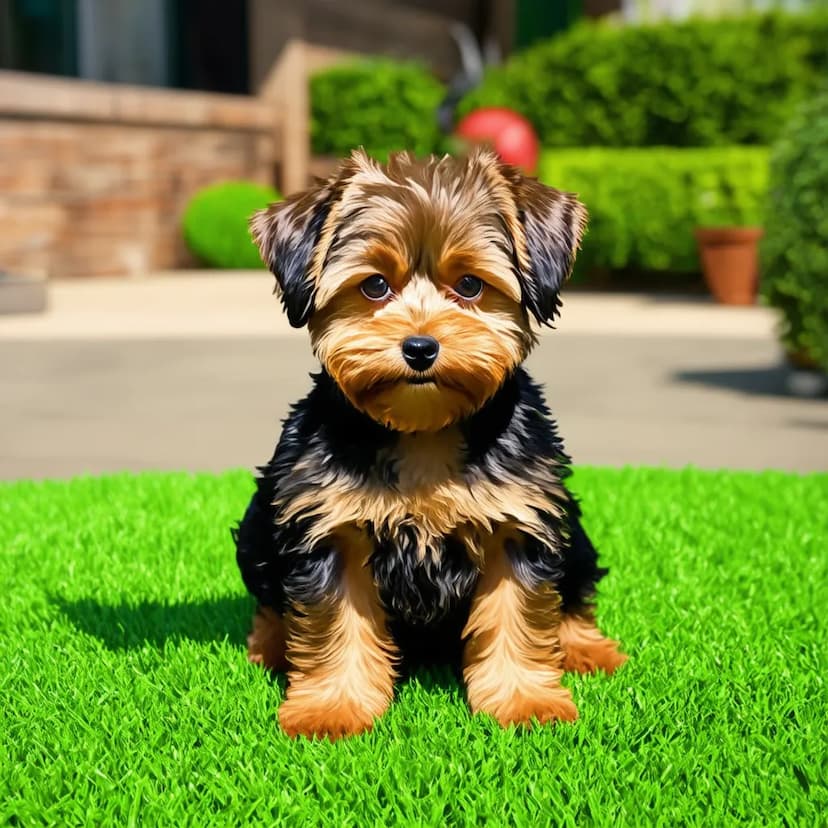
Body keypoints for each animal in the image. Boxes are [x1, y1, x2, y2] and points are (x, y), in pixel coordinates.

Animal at [230, 147, 624, 736]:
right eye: (374, 286)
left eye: (470, 285)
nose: (420, 347)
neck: (424, 430)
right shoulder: (328, 523)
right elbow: (334, 623)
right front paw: (332, 707)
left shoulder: (520, 518)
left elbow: (519, 613)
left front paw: (524, 701)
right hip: (262, 517)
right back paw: (271, 646)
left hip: (568, 523)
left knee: (574, 585)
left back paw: (586, 648)